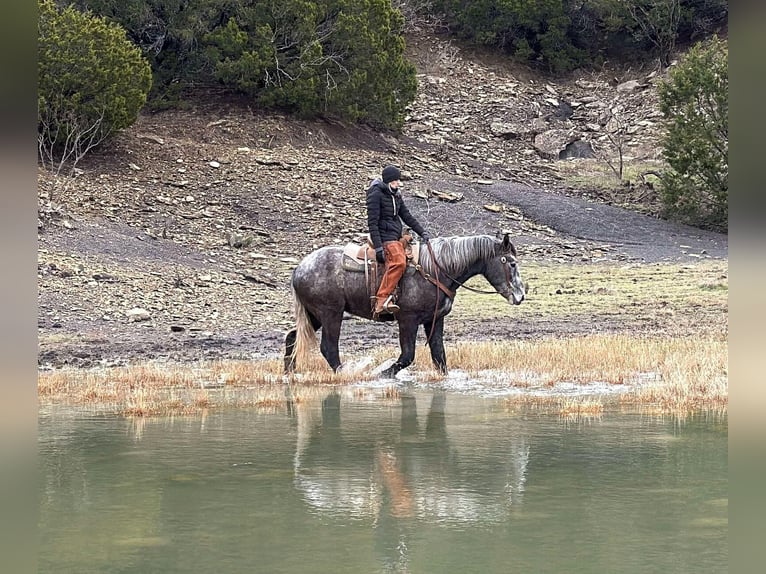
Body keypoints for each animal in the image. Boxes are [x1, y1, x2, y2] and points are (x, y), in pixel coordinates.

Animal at [283, 233, 525, 379]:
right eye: (511, 263)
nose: (520, 295)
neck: (436, 270)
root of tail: (299, 269)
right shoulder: (408, 320)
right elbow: (407, 355)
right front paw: (382, 374)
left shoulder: (434, 319)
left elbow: (439, 355)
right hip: (330, 313)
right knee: (329, 348)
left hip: (314, 315)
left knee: (292, 338)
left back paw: (289, 374)